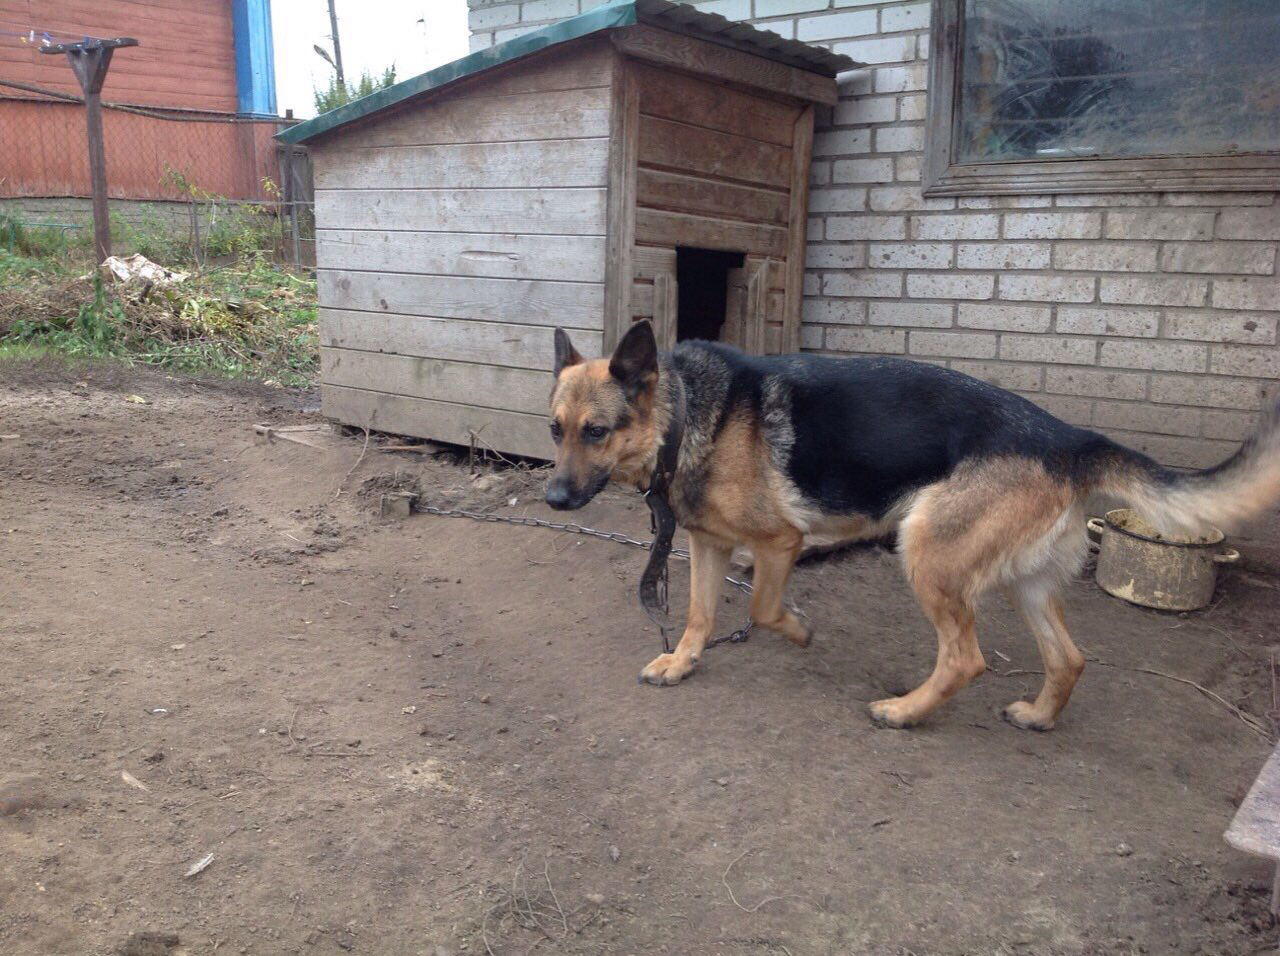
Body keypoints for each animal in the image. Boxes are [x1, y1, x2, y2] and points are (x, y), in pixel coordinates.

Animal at [547, 321, 1280, 732]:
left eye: (597, 432)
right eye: (555, 431)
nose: (552, 497)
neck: (689, 415)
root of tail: (1068, 438)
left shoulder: (779, 542)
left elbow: (760, 605)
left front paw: (798, 630)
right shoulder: (706, 543)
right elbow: (699, 614)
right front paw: (681, 661)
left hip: (924, 549)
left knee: (966, 658)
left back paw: (903, 712)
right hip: (1025, 583)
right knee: (1067, 658)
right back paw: (1039, 716)